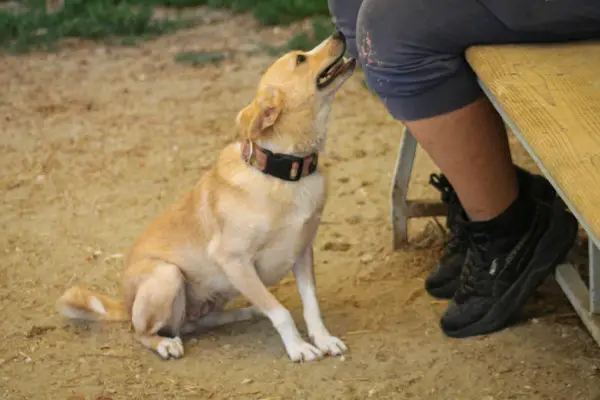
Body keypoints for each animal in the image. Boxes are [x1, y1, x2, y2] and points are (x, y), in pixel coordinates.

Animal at [57, 31, 356, 362]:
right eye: (300, 59)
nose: (340, 33)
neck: (283, 172)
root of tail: (125, 303)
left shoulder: (302, 252)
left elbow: (311, 306)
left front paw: (324, 339)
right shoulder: (234, 260)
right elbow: (281, 313)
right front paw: (299, 347)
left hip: (214, 294)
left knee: (199, 321)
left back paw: (246, 312)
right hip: (167, 275)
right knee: (143, 332)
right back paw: (165, 344)